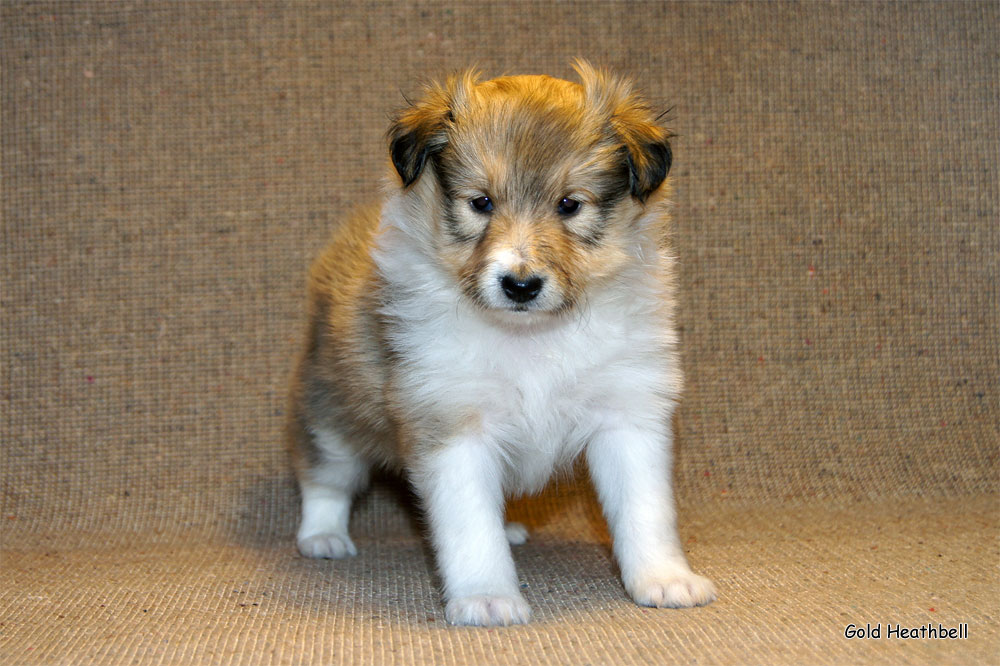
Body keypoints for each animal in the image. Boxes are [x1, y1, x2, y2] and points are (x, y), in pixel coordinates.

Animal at [286, 61, 716, 624]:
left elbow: (646, 511)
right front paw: (486, 597)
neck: (529, 338)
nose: (520, 284)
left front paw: (664, 579)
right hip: (331, 406)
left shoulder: (628, 414)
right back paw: (323, 537)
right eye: (481, 203)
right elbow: (470, 527)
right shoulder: (452, 423)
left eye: (569, 204)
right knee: (325, 476)